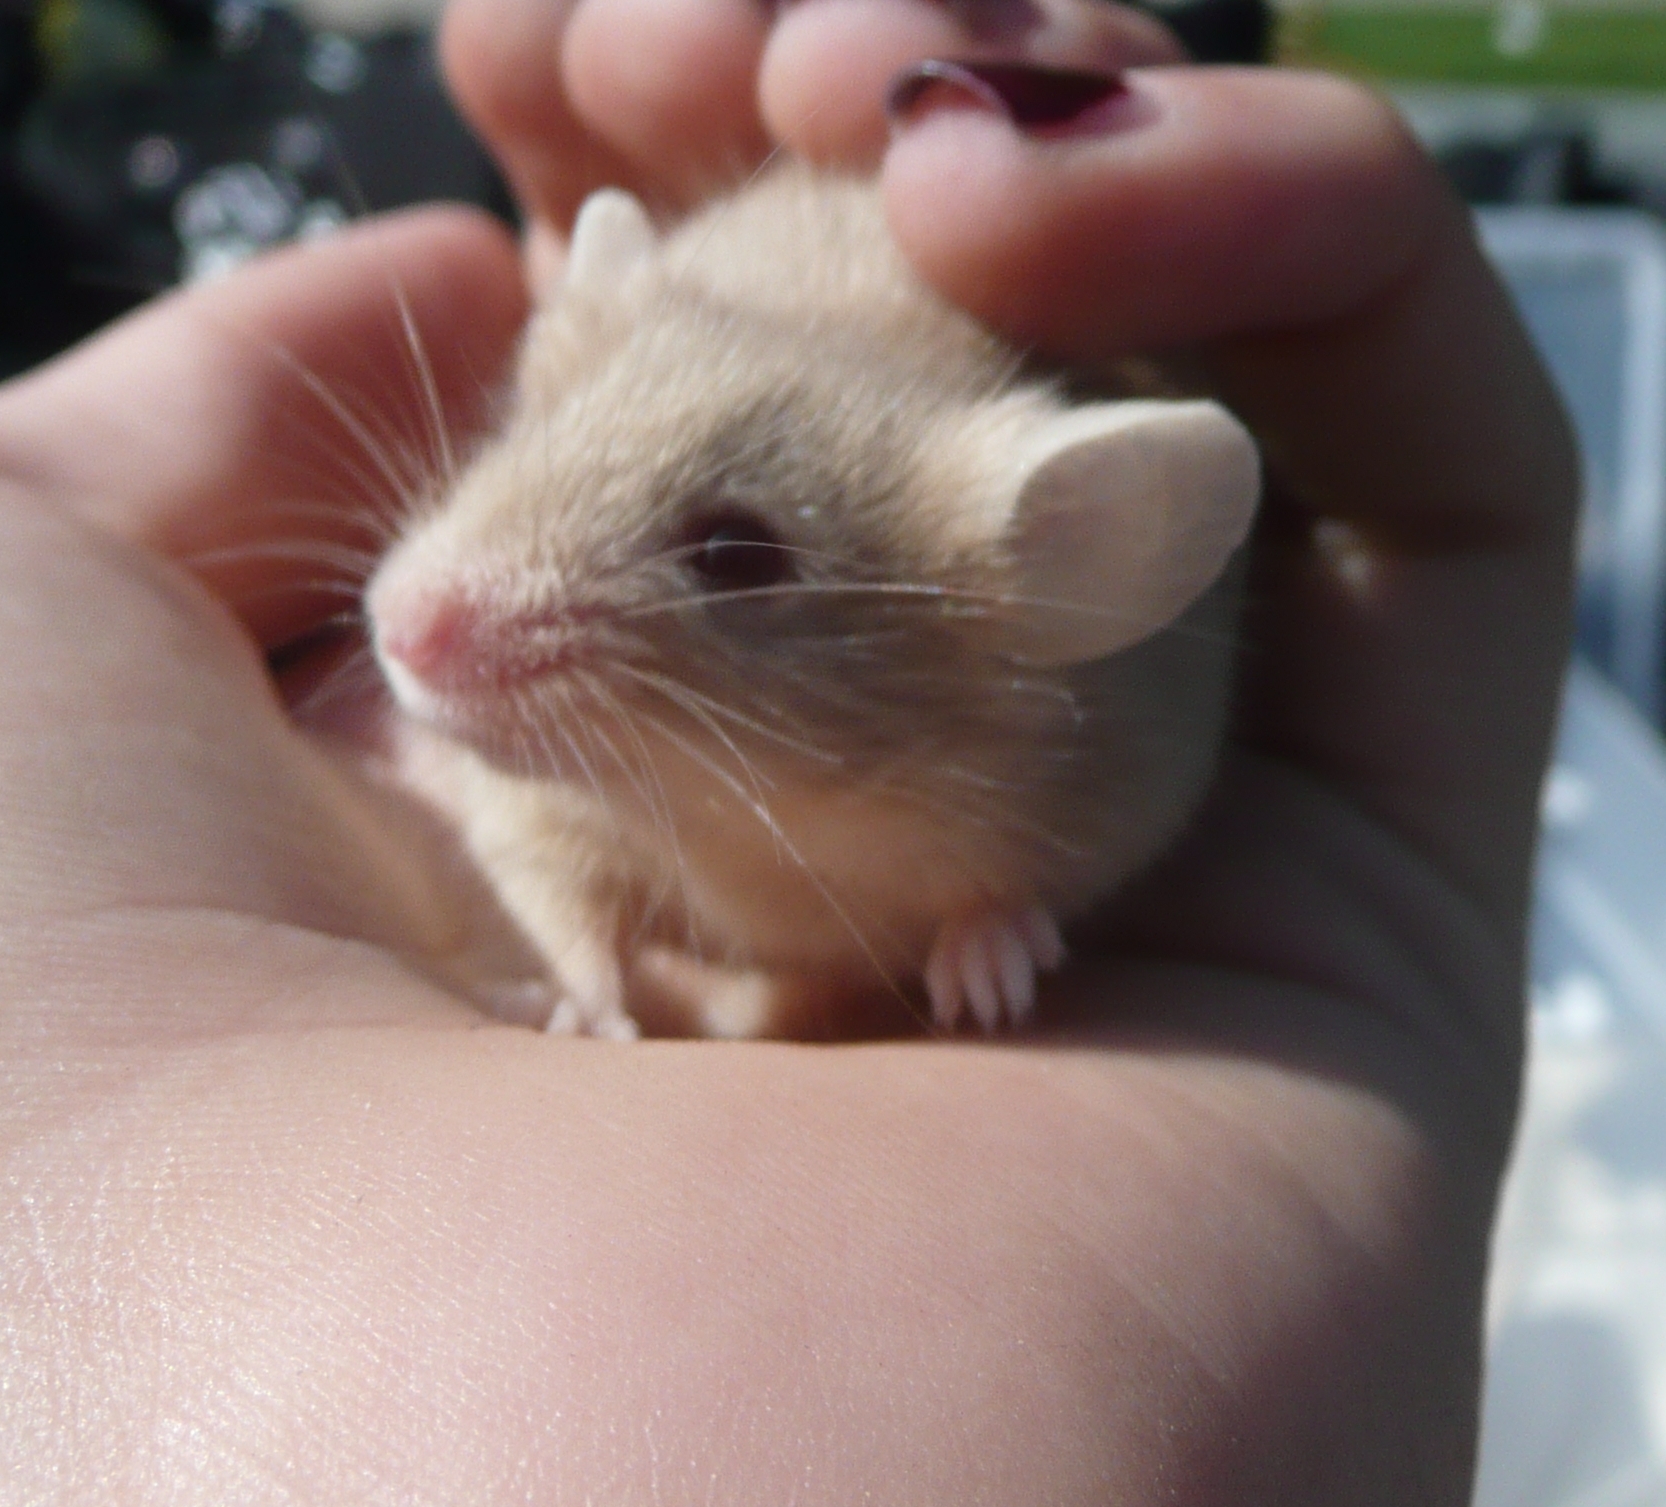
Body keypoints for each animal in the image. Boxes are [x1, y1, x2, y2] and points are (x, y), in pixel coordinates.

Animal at [365, 165, 1259, 1040]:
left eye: (736, 553)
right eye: (513, 435)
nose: (394, 632)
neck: (755, 822)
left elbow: (1003, 895)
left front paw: (988, 980)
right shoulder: (532, 819)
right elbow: (564, 915)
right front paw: (576, 1014)